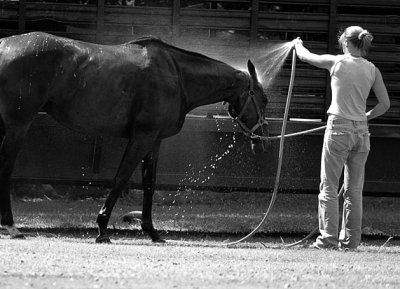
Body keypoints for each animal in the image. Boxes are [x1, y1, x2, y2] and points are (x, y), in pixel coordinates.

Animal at [0, 31, 268, 242]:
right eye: (263, 99)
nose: (262, 141)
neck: (176, 74)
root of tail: (4, 44)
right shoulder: (142, 136)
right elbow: (121, 178)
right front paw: (102, 229)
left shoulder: (155, 140)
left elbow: (149, 183)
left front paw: (152, 232)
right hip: (18, 125)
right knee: (6, 168)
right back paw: (12, 226)